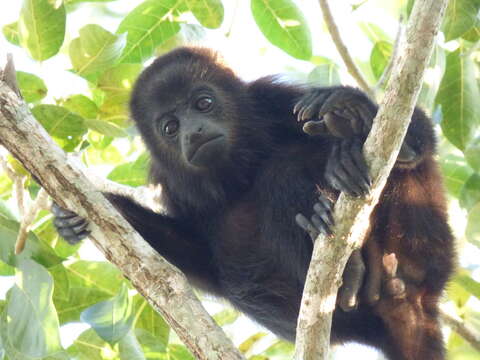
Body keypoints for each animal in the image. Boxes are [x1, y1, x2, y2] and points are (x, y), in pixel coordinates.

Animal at [52, 46, 454, 358]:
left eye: (203, 103)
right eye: (170, 127)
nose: (194, 131)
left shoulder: (276, 99)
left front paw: (351, 108)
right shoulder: (171, 184)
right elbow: (199, 259)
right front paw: (72, 218)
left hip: (423, 237)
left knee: (289, 167)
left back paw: (353, 131)